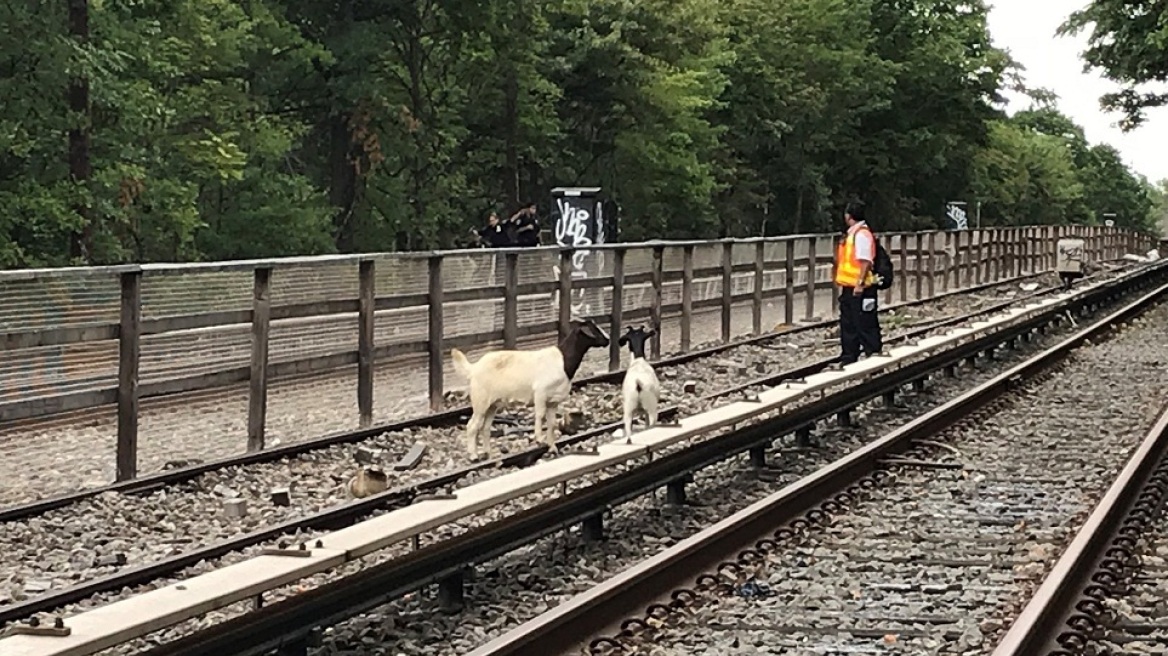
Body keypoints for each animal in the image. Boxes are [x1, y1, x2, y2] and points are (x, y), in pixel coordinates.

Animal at [448, 317, 612, 459]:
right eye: (594, 329)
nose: (608, 340)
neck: (563, 361)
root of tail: (473, 368)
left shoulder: (553, 401)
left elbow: (552, 423)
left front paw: (552, 448)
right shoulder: (540, 392)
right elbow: (539, 415)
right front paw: (539, 439)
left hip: (492, 405)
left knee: (485, 427)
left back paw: (488, 453)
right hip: (480, 401)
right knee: (472, 426)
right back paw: (473, 456)